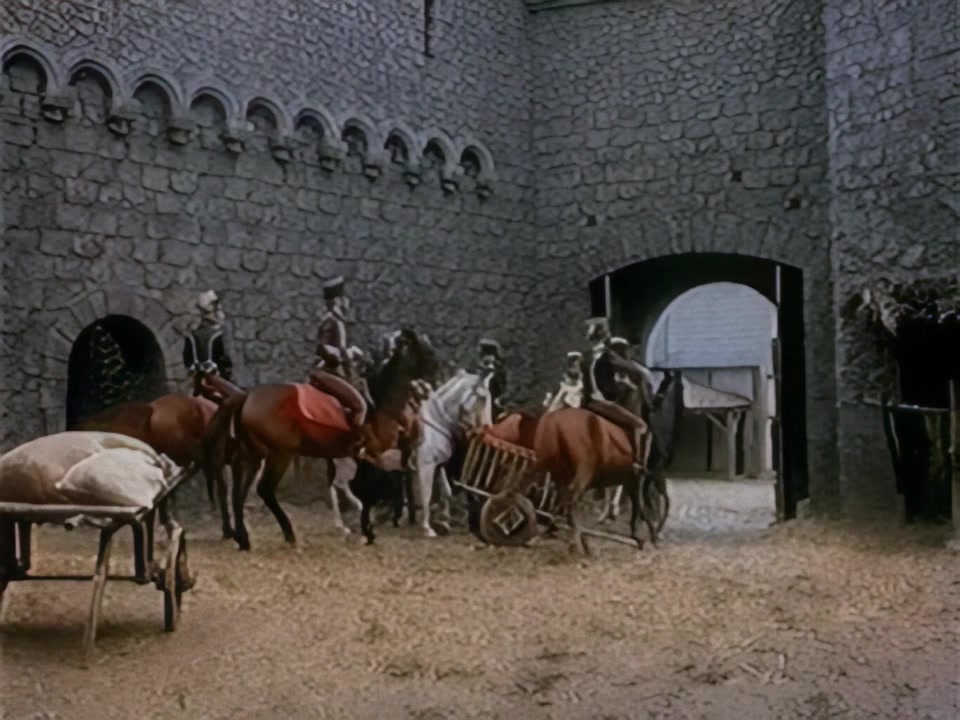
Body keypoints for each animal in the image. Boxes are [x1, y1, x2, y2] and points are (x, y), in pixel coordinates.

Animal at [202, 327, 438, 550]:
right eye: (425, 352)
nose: (433, 382)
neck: (381, 402)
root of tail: (247, 396)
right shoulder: (375, 450)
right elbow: (370, 487)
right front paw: (368, 529)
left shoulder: (365, 455)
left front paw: (369, 528)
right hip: (280, 455)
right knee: (264, 490)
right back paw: (289, 535)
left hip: (254, 456)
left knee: (239, 493)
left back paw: (243, 538)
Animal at [510, 371, 684, 554]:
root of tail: (555, 421)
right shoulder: (635, 480)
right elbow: (641, 508)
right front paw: (648, 537)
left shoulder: (631, 481)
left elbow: (639, 507)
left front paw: (641, 537)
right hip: (583, 471)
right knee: (569, 499)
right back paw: (575, 541)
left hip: (549, 466)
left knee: (531, 488)